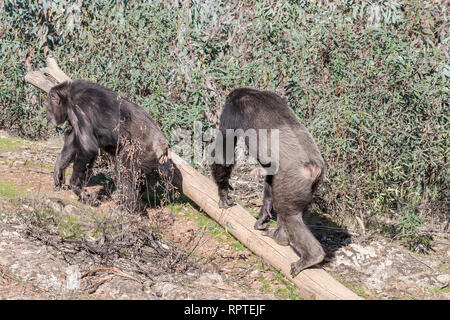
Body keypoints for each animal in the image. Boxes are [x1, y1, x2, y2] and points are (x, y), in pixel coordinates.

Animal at [44, 80, 168, 210]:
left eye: (47, 106)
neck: (69, 97)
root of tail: (164, 146)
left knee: (124, 170)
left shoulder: (79, 108)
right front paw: (58, 169)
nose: (47, 115)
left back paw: (126, 207)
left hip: (142, 151)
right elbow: (73, 142)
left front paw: (76, 187)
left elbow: (87, 147)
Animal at [211, 88, 326, 278]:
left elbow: (224, 150)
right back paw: (280, 236)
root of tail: (314, 168)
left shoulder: (233, 109)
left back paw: (309, 255)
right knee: (294, 212)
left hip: (292, 181)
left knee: (288, 214)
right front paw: (264, 213)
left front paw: (223, 193)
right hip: (309, 185)